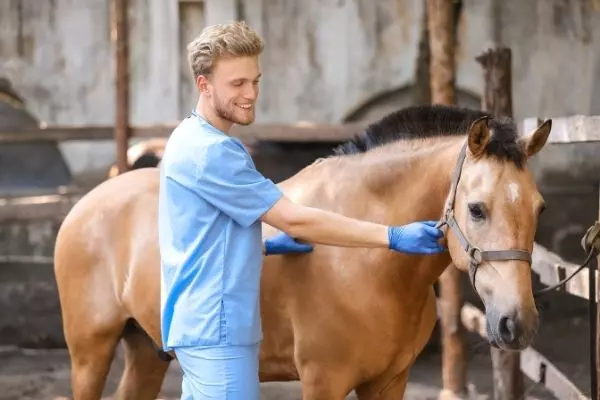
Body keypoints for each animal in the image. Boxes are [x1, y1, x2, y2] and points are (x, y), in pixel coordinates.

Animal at [54, 104, 552, 400]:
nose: (517, 323)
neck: (370, 266)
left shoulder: (390, 381)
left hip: (147, 351)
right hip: (90, 354)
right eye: (477, 208)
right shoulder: (323, 380)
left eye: (538, 208)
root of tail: (87, 204)